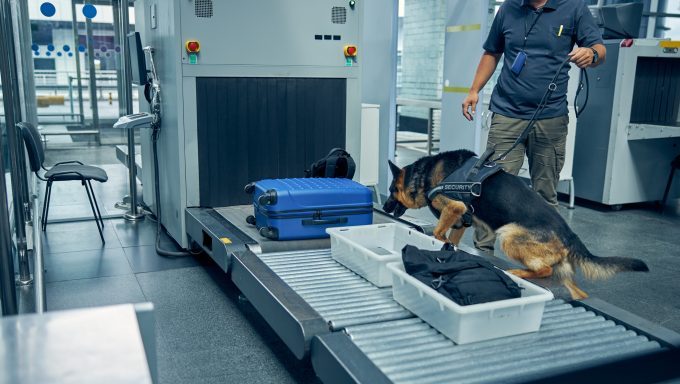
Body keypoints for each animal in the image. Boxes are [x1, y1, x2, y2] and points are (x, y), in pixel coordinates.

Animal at [382, 150, 648, 300]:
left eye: (391, 190)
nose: (383, 207)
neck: (423, 174)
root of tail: (570, 234)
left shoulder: (454, 208)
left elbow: (439, 231)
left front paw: (438, 241)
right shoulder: (461, 219)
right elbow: (451, 237)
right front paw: (448, 247)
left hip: (508, 236)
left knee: (545, 270)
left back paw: (518, 272)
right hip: (564, 276)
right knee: (573, 288)